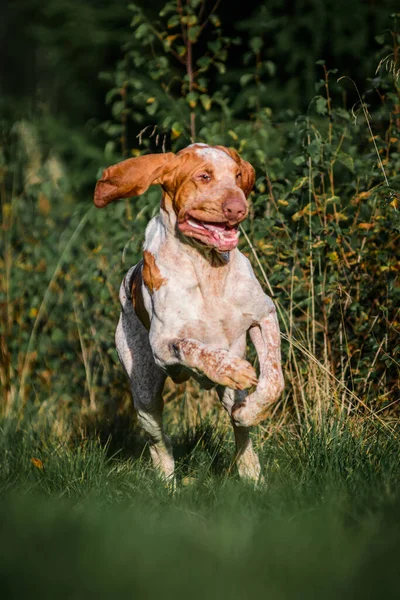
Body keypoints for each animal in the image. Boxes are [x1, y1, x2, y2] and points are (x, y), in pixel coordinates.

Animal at [94, 144, 284, 482]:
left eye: (237, 175)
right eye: (203, 176)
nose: (238, 208)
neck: (207, 266)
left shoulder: (264, 316)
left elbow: (274, 381)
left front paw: (253, 411)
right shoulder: (162, 345)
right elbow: (192, 346)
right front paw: (231, 368)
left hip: (227, 395)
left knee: (239, 430)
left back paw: (250, 470)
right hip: (144, 392)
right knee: (159, 443)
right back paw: (167, 481)